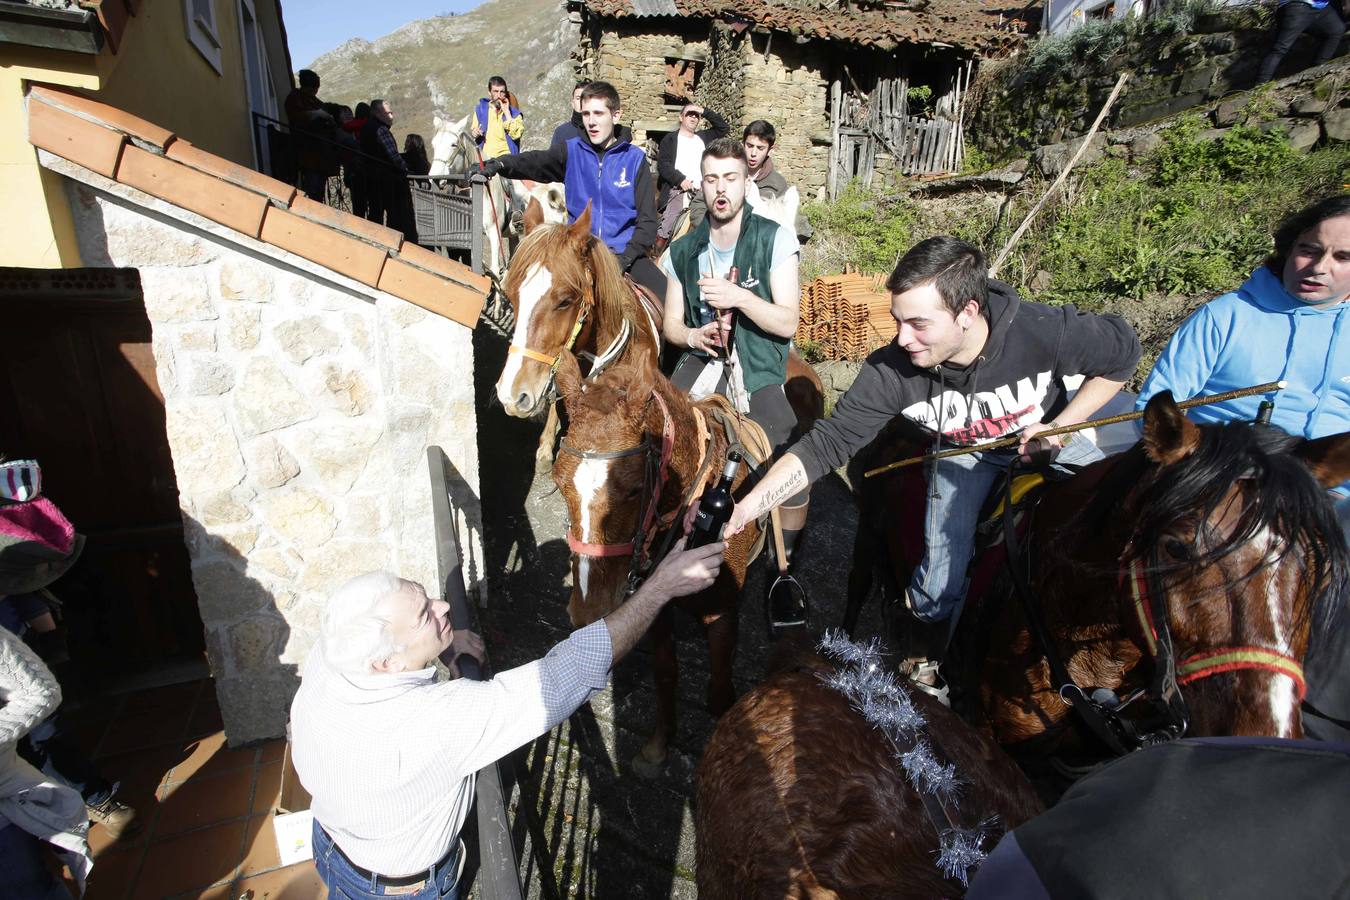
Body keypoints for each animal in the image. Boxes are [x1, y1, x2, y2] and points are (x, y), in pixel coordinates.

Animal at [553, 350, 766, 777]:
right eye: (557, 480)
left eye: (635, 489)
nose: (588, 609)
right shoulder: (657, 603)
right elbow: (666, 672)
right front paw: (657, 746)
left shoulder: (721, 612)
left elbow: (721, 688)